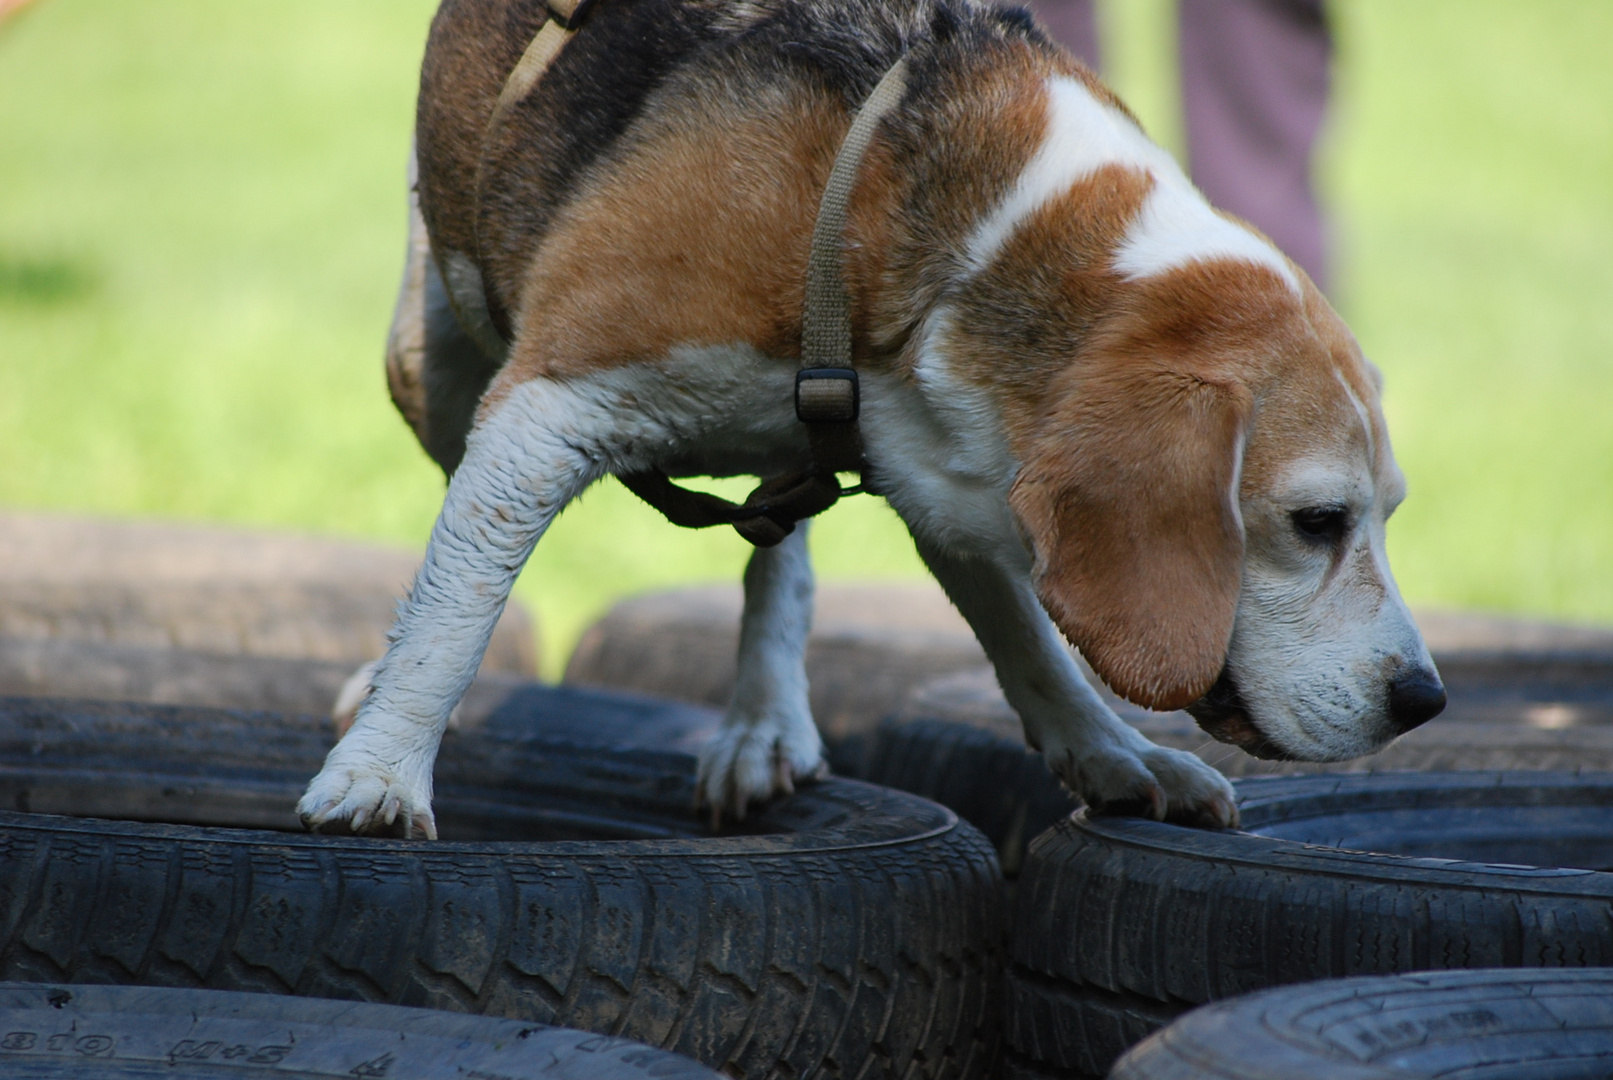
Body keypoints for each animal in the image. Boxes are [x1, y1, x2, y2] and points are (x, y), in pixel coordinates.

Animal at [296, 0, 1445, 844]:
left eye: (1383, 515)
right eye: (1314, 522)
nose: (1425, 703)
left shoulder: (952, 461)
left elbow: (1027, 636)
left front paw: (1113, 754)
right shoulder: (550, 403)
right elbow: (455, 606)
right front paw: (380, 777)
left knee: (778, 540)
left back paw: (764, 719)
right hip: (430, 363)